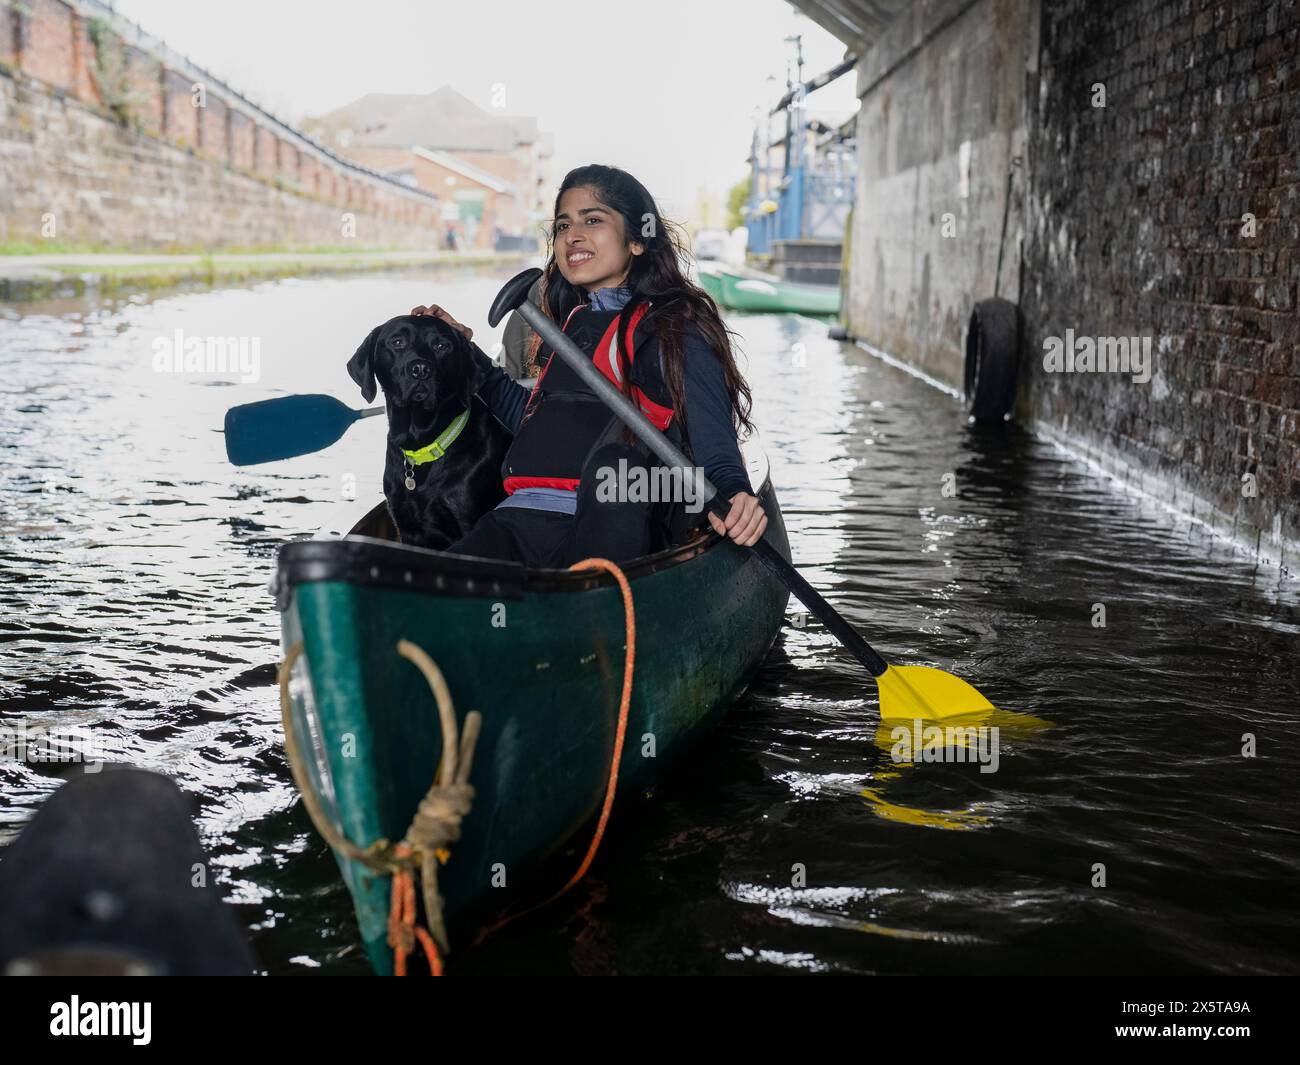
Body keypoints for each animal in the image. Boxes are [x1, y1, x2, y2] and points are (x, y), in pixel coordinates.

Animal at [348, 314, 509, 548]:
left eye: (442, 346)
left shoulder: (469, 522)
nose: (421, 369)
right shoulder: (407, 526)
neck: (423, 444)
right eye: (397, 342)